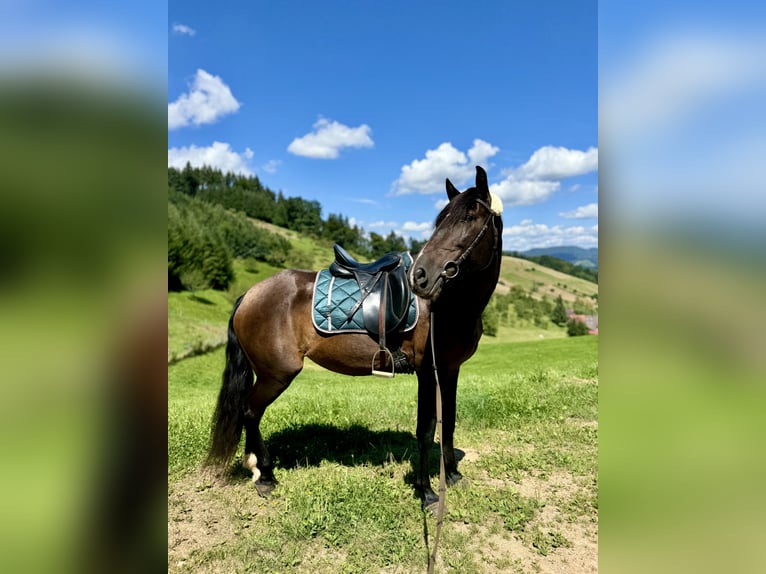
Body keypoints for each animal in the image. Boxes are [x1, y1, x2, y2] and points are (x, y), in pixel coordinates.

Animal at [207, 164, 504, 506]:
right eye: (441, 219)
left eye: (469, 217)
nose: (421, 276)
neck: (448, 305)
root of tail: (250, 294)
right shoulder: (428, 373)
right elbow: (426, 428)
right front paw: (427, 492)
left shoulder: (449, 370)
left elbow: (449, 422)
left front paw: (453, 475)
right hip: (277, 374)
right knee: (251, 411)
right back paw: (266, 475)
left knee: (249, 413)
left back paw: (255, 466)